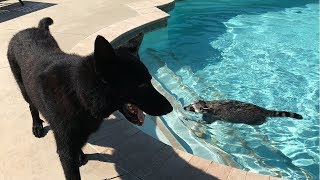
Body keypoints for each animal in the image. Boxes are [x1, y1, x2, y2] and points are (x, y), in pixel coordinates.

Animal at [6, 17, 172, 180]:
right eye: (141, 85)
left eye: (150, 80)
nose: (170, 109)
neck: (78, 93)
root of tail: (29, 29)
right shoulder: (65, 152)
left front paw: (80, 154)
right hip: (24, 90)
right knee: (31, 106)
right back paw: (37, 125)